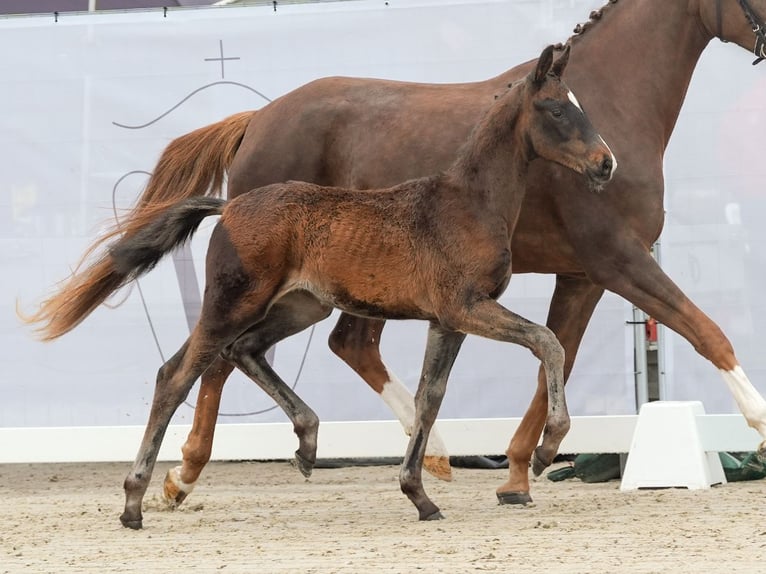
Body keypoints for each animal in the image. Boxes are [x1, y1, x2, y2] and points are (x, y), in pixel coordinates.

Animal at [25, 0, 766, 510]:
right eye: (559, 110)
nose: (604, 165)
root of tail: (254, 121)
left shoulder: (580, 274)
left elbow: (558, 354)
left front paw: (521, 470)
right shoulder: (617, 259)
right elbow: (703, 331)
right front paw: (757, 425)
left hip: (316, 294)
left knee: (305, 348)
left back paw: (411, 454)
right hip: (258, 287)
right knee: (214, 358)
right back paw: (182, 475)